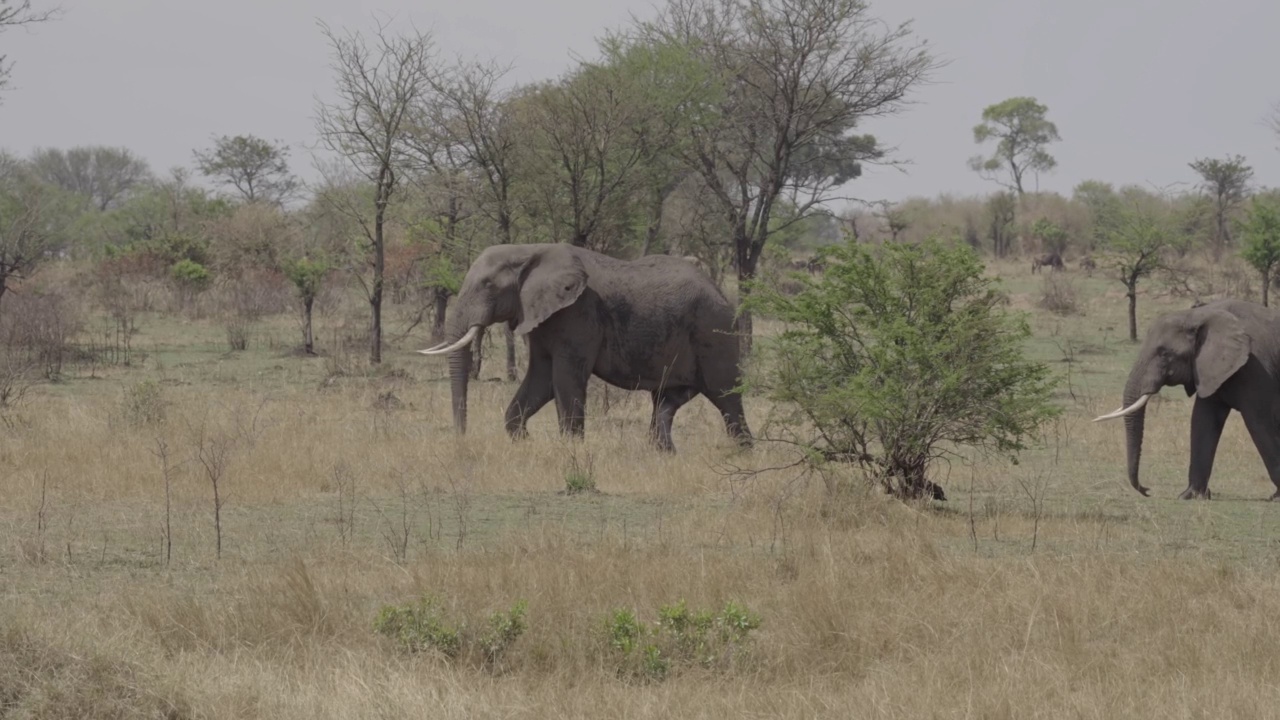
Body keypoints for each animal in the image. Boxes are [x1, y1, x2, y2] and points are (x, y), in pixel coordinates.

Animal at [419, 243, 752, 450]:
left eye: (487, 285)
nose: (461, 438)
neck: (529, 249)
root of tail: (720, 292)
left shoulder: (579, 314)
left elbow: (565, 379)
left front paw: (571, 450)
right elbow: (541, 379)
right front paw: (524, 442)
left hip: (714, 330)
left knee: (726, 397)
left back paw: (742, 452)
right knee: (666, 401)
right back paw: (665, 454)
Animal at [1090, 297, 1280, 499]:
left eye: (1164, 354)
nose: (1147, 490)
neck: (1199, 315)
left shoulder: (1257, 367)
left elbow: (1258, 422)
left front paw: (1277, 497)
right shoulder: (1209, 369)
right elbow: (1203, 420)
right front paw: (1190, 496)